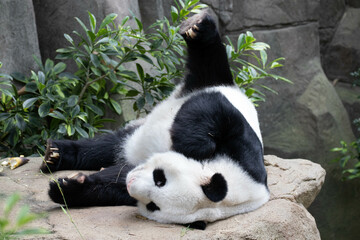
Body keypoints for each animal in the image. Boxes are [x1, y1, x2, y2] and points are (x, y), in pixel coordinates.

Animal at [43, 10, 268, 230]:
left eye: (154, 205)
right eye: (160, 178)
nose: (131, 182)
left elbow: (112, 186)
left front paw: (67, 188)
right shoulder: (244, 151)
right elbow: (213, 113)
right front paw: (190, 146)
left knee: (106, 148)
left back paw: (54, 155)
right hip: (208, 84)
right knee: (209, 63)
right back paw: (198, 27)